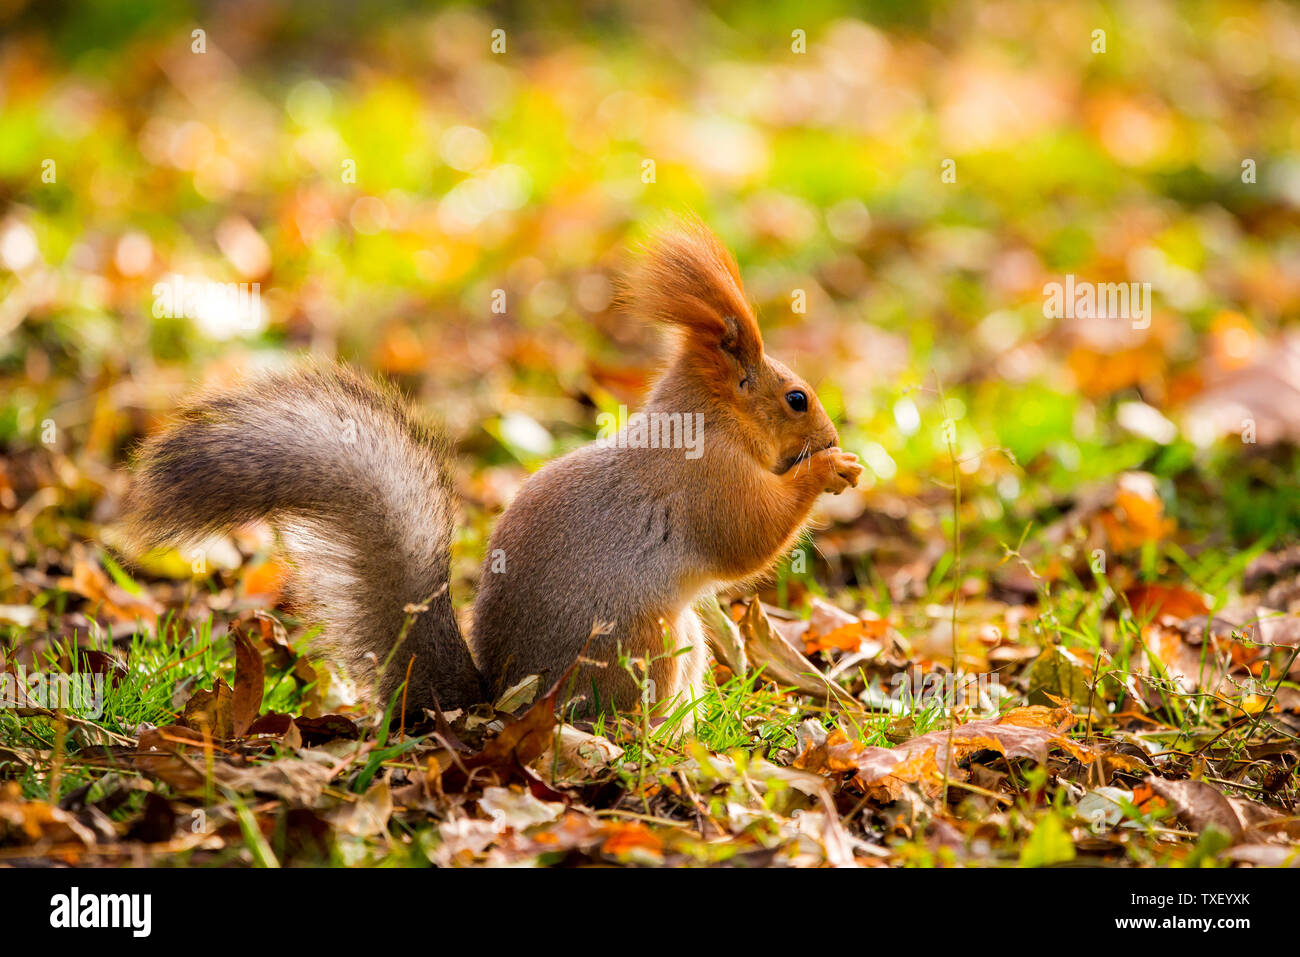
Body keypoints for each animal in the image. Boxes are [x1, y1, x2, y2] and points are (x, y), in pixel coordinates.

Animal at [121, 221, 863, 718]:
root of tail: (494, 703)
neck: (706, 422)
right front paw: (828, 468)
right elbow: (751, 539)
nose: (830, 435)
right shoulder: (708, 483)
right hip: (647, 642)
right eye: (797, 398)